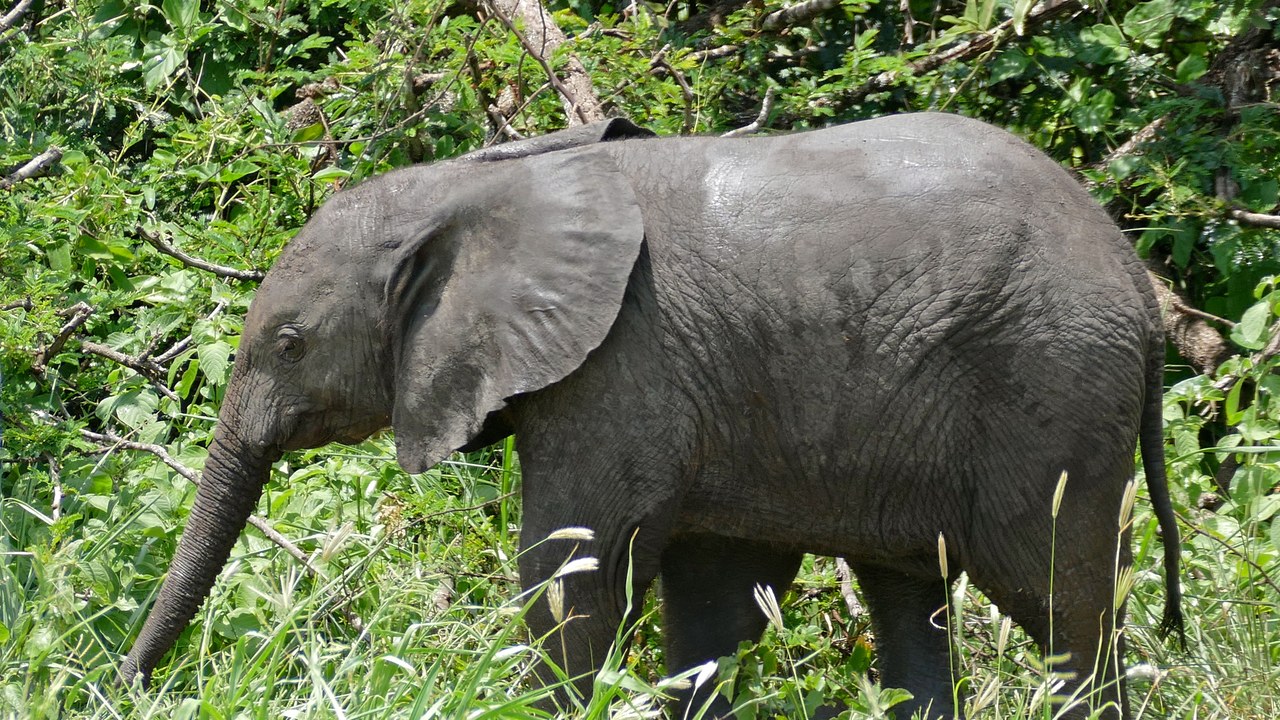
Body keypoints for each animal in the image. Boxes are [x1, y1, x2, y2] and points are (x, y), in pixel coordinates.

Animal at [120, 113, 1183, 719]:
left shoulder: (624, 366)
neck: (479, 180)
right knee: (910, 599)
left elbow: (576, 571)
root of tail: (1139, 282)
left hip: (1052, 387)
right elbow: (713, 606)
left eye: (289, 344)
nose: (123, 689)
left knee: (1062, 602)